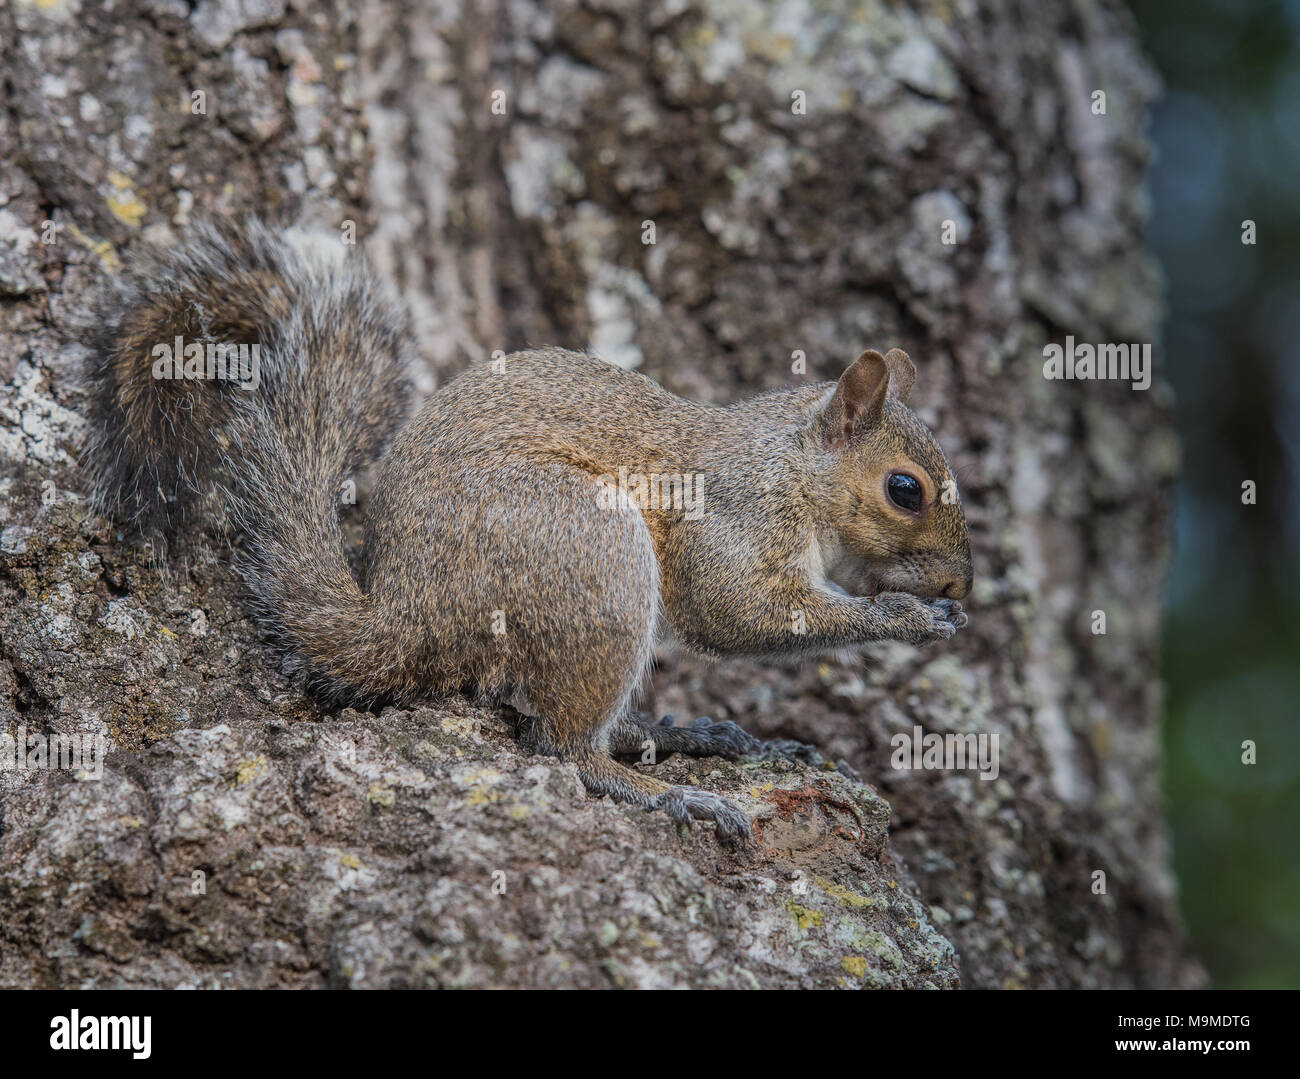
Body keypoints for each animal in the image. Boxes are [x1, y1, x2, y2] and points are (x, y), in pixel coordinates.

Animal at [85, 218, 973, 840]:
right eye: (905, 490)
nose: (960, 582)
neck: (789, 467)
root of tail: (407, 614)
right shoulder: (733, 518)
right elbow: (740, 613)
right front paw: (908, 616)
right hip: (588, 548)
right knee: (563, 745)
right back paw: (672, 791)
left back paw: (687, 733)